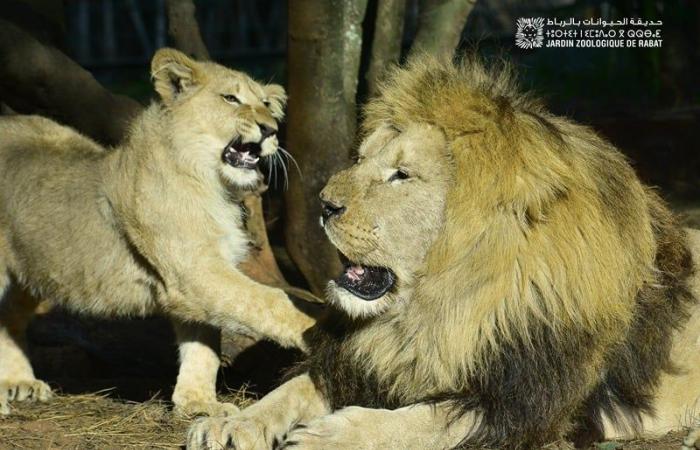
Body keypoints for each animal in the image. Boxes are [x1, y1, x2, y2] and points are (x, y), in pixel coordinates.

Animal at [0, 47, 314, 416]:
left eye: (265, 103)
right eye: (230, 98)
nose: (271, 129)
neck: (213, 185)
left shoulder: (195, 279)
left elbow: (203, 345)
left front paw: (198, 403)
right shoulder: (194, 270)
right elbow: (269, 302)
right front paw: (319, 328)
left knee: (9, 318)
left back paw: (19, 383)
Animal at [190, 57, 700, 450]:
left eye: (401, 175)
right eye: (363, 160)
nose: (323, 204)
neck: (434, 309)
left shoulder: (526, 405)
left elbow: (422, 420)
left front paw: (328, 437)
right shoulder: (365, 361)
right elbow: (292, 388)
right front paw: (231, 421)